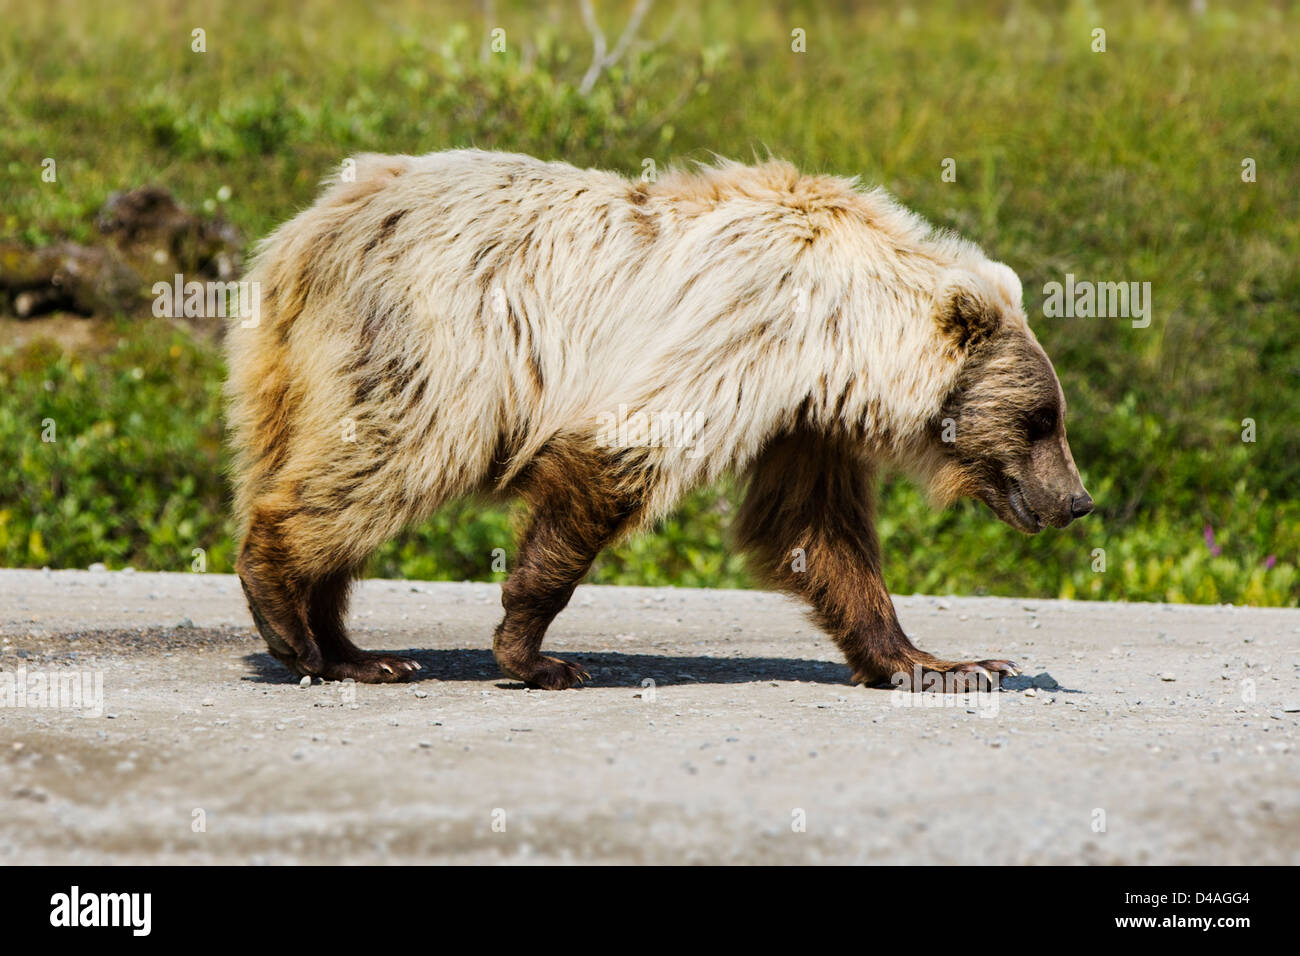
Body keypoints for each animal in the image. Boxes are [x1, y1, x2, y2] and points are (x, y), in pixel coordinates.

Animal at [225, 149, 1093, 691]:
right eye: (1040, 419)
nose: (1077, 499)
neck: (841, 333)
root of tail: (301, 235)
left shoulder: (801, 417)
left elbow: (816, 531)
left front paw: (943, 663)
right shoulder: (743, 327)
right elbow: (624, 450)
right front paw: (533, 654)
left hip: (302, 372)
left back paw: (352, 651)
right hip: (431, 344)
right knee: (391, 459)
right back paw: (288, 616)